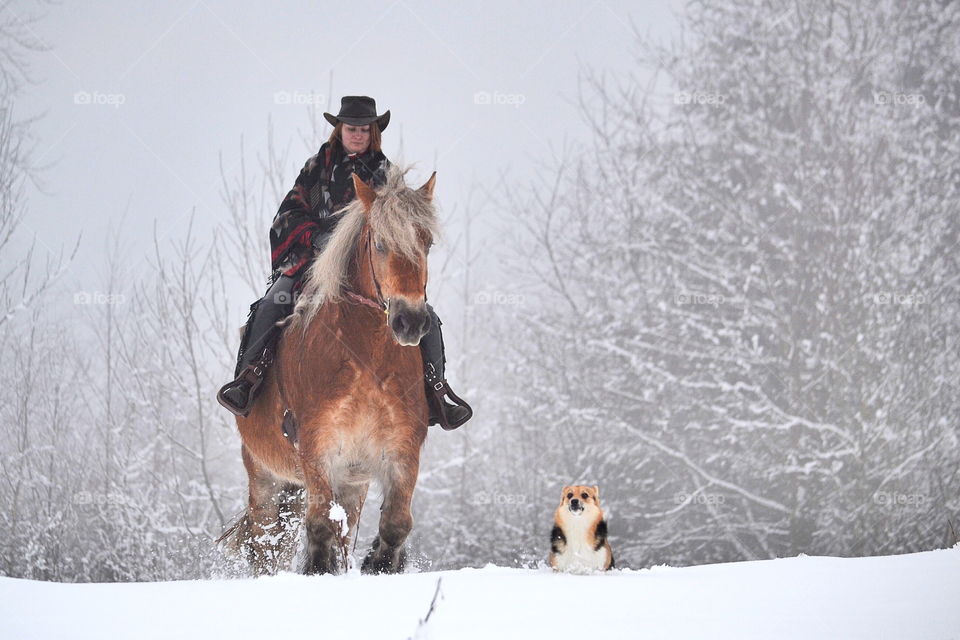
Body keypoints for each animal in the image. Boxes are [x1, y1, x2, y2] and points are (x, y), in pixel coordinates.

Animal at [220, 165, 438, 576]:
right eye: (380, 243)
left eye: (427, 242)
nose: (411, 322)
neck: (366, 358)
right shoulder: (316, 450)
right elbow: (319, 530)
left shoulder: (401, 450)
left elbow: (396, 524)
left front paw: (378, 562)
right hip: (265, 478)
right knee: (264, 544)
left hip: (349, 483)